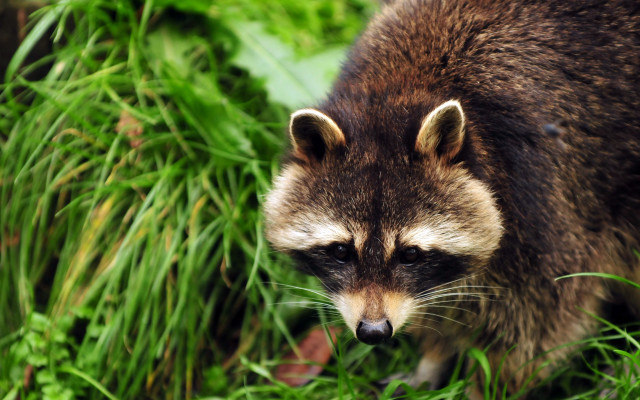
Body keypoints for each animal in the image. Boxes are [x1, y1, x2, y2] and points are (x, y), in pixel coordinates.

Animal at [264, 0, 640, 394]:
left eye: (411, 254)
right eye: (340, 251)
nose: (374, 332)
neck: (400, 91)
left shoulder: (542, 205)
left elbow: (540, 326)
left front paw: (487, 386)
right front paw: (433, 356)